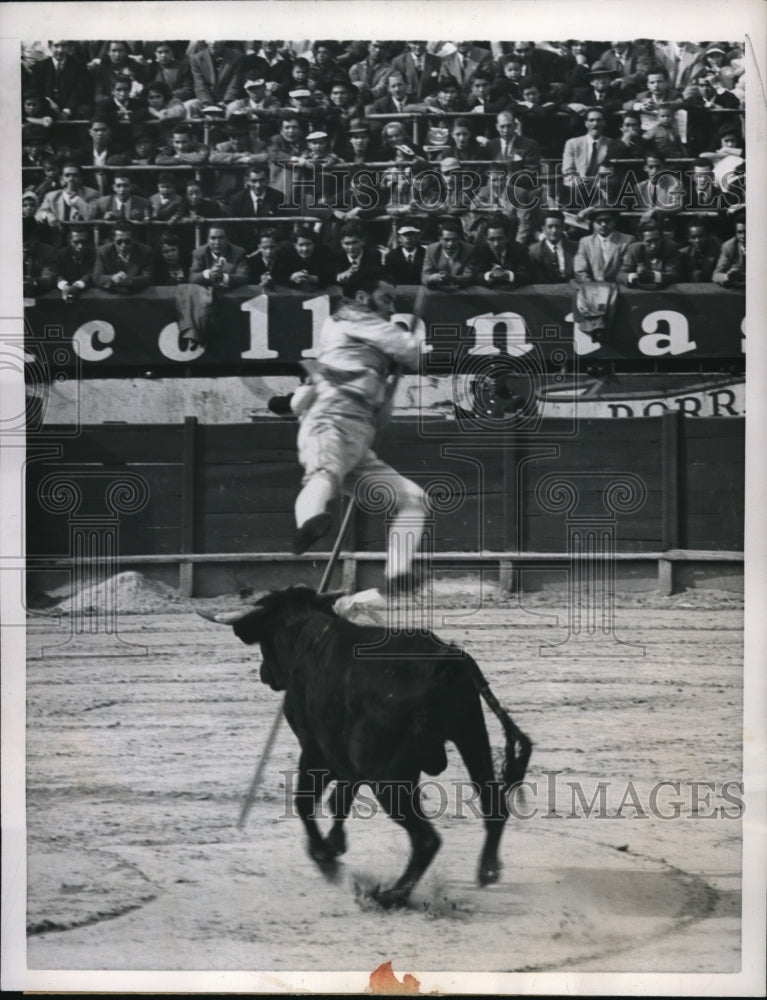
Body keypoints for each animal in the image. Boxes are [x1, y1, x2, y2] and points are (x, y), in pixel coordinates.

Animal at [201, 584, 532, 908]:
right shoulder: (347, 757)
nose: (264, 673)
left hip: (390, 777)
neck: (307, 634)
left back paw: (389, 895)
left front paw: (325, 858)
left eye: (264, 642)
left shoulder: (316, 750)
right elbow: (339, 800)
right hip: (471, 736)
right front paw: (335, 844)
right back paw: (487, 870)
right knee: (492, 805)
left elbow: (305, 802)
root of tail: (446, 663)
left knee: (426, 839)